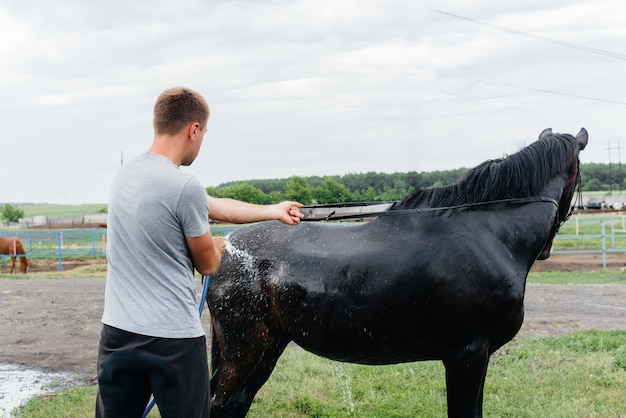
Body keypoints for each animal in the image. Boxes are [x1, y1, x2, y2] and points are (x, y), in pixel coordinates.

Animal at [208, 128, 584, 418]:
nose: (548, 250)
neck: (488, 235)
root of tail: (225, 247)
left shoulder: (477, 356)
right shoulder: (467, 356)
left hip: (267, 347)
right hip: (245, 352)